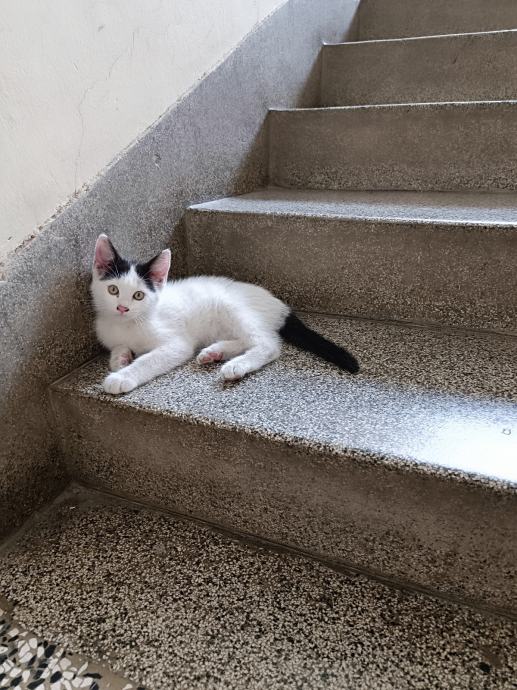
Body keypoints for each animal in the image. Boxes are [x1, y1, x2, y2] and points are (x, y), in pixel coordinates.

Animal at [91, 234, 359, 394]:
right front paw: (120, 359)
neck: (128, 323)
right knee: (247, 339)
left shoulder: (176, 344)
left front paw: (122, 376)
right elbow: (118, 347)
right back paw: (215, 352)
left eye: (138, 295)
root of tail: (280, 306)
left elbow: (150, 359)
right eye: (113, 290)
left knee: (268, 344)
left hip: (231, 306)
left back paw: (237, 365)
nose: (122, 308)